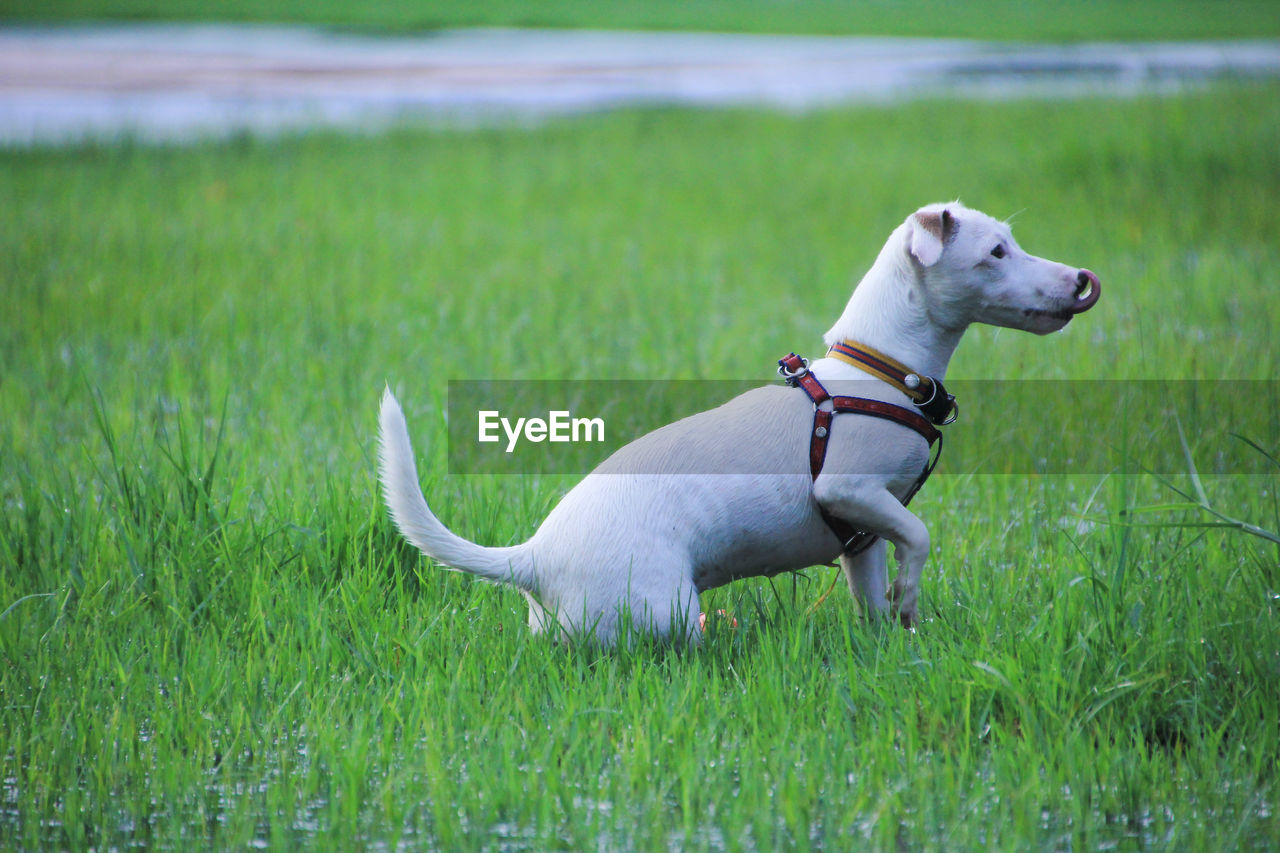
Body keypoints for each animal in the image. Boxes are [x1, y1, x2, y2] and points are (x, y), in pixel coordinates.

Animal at [376, 202, 1100, 640]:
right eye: (996, 252)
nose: (1080, 280)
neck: (882, 372)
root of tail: (530, 557)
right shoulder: (849, 490)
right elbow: (919, 536)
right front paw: (910, 597)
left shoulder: (860, 538)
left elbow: (873, 593)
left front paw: (890, 634)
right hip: (665, 609)